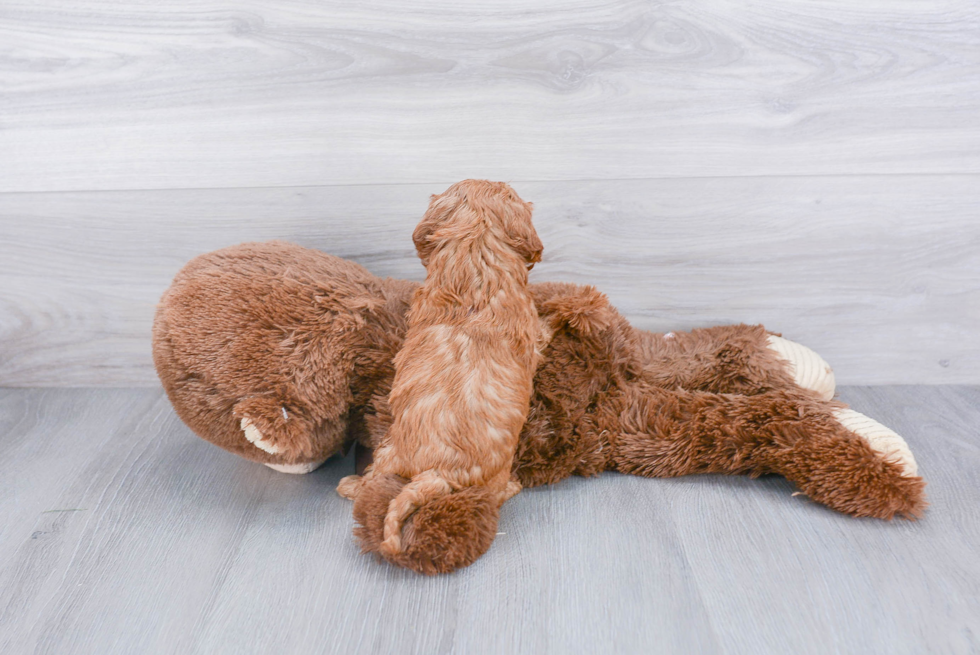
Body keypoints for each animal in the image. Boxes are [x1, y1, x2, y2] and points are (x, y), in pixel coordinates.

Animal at [338, 181, 544, 560]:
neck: (475, 257)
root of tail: (437, 471)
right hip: (492, 476)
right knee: (495, 495)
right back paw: (512, 486)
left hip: (388, 452)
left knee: (374, 481)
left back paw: (351, 485)